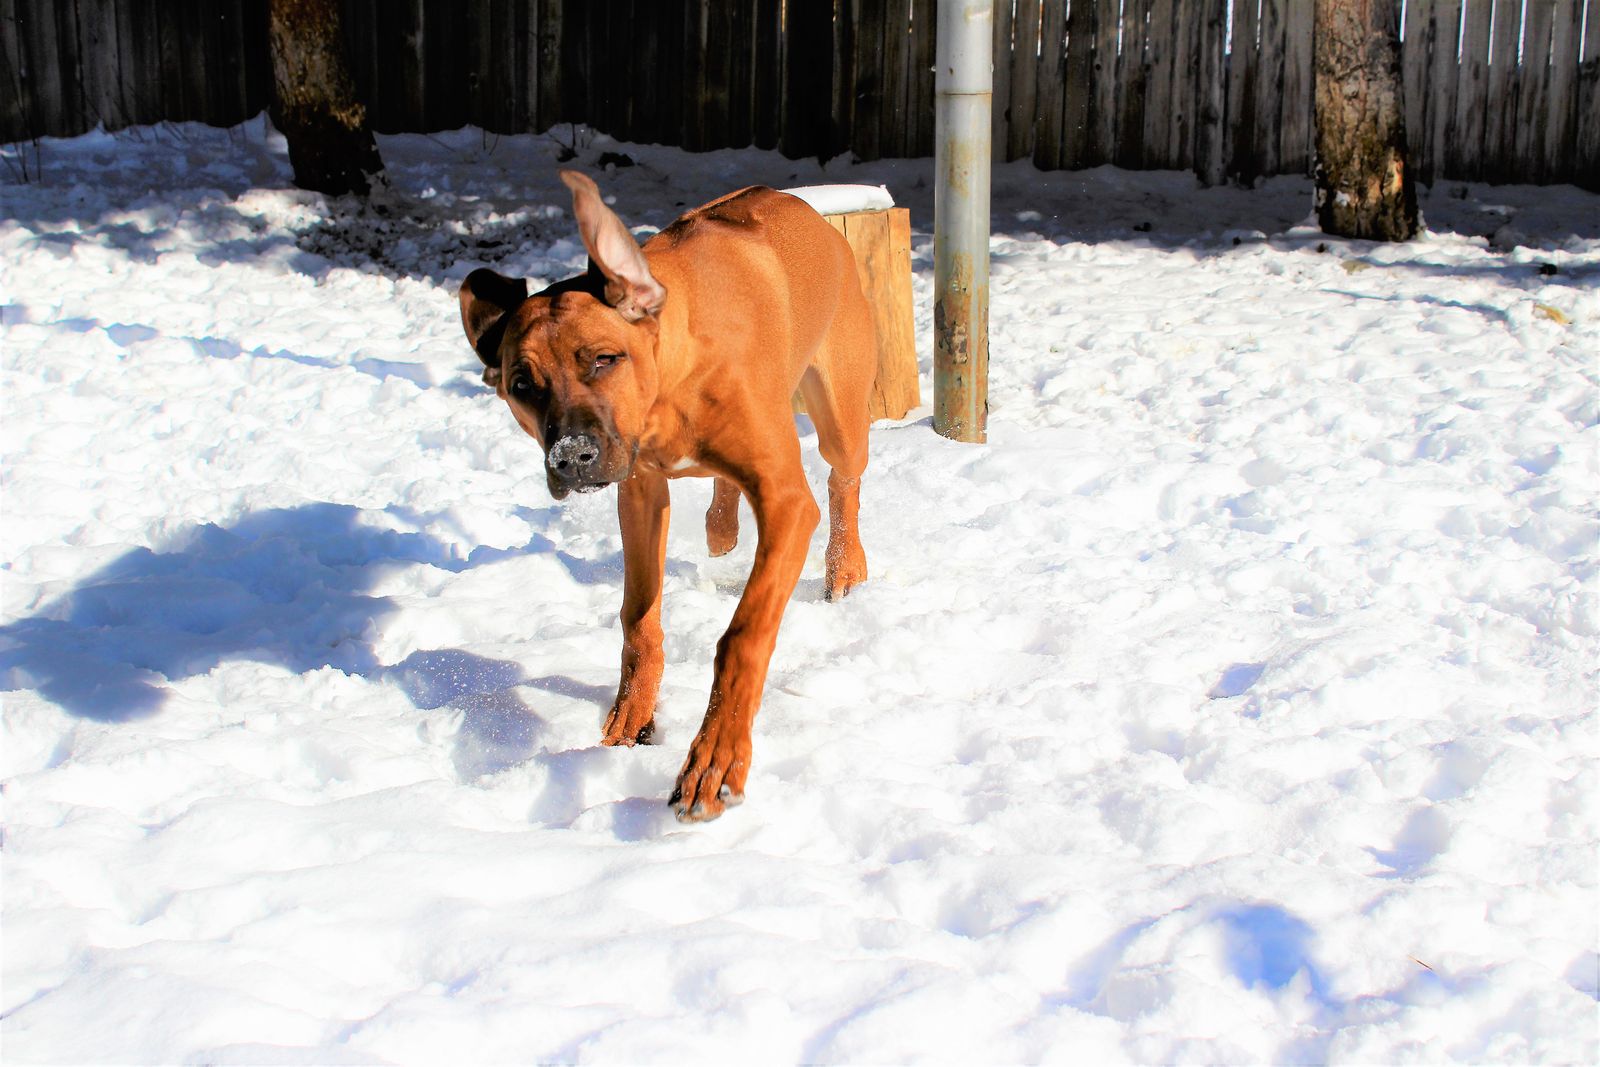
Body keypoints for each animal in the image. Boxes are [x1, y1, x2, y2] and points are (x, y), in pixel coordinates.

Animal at [458, 171, 876, 821]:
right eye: (521, 385)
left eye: (604, 359)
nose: (570, 456)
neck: (670, 384)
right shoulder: (638, 492)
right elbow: (638, 617)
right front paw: (632, 713)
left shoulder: (785, 501)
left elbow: (742, 637)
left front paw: (716, 760)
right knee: (733, 488)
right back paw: (722, 525)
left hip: (840, 412)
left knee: (843, 477)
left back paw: (844, 566)